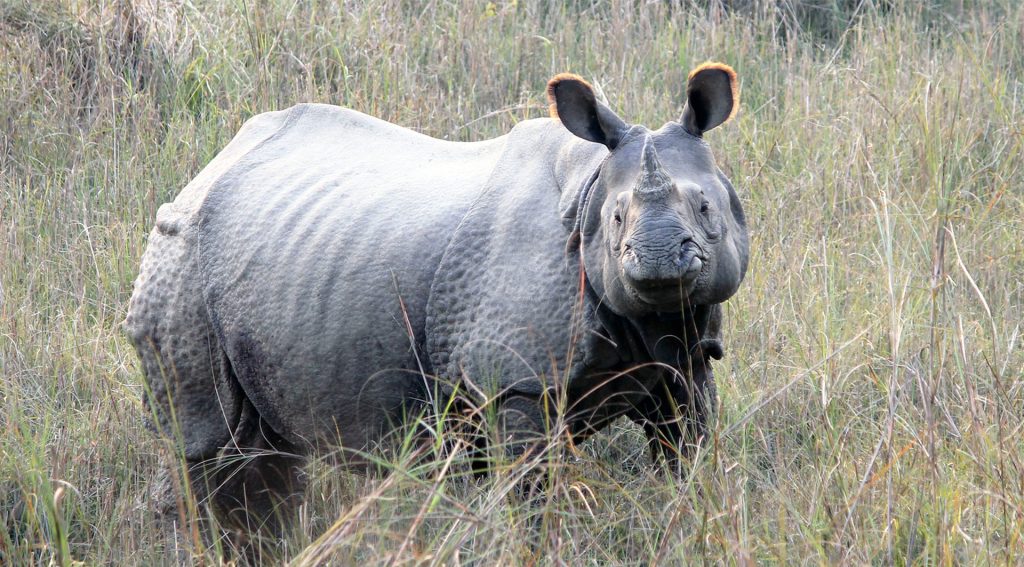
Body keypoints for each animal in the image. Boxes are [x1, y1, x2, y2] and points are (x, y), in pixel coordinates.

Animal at [125, 62, 748, 527]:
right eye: (615, 219)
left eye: (706, 209)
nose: (658, 264)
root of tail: (208, 170)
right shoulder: (518, 380)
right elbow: (531, 494)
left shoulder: (688, 356)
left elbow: (685, 449)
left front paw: (689, 514)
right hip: (179, 252)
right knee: (202, 444)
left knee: (266, 456)